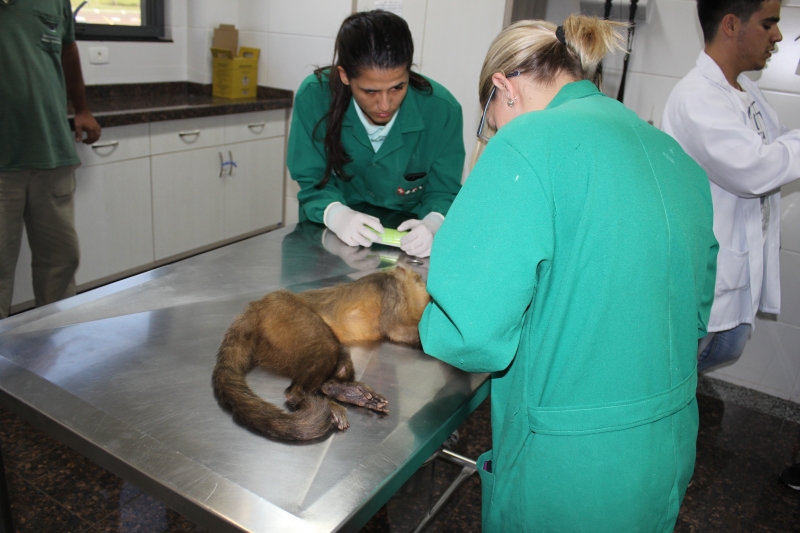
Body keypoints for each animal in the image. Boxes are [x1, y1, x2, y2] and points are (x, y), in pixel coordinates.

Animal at [212, 266, 431, 441]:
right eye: (419, 278)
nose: (424, 285)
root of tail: (258, 306)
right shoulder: (391, 287)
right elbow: (396, 329)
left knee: (339, 353)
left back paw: (341, 390)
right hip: (285, 314)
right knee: (327, 346)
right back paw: (302, 394)